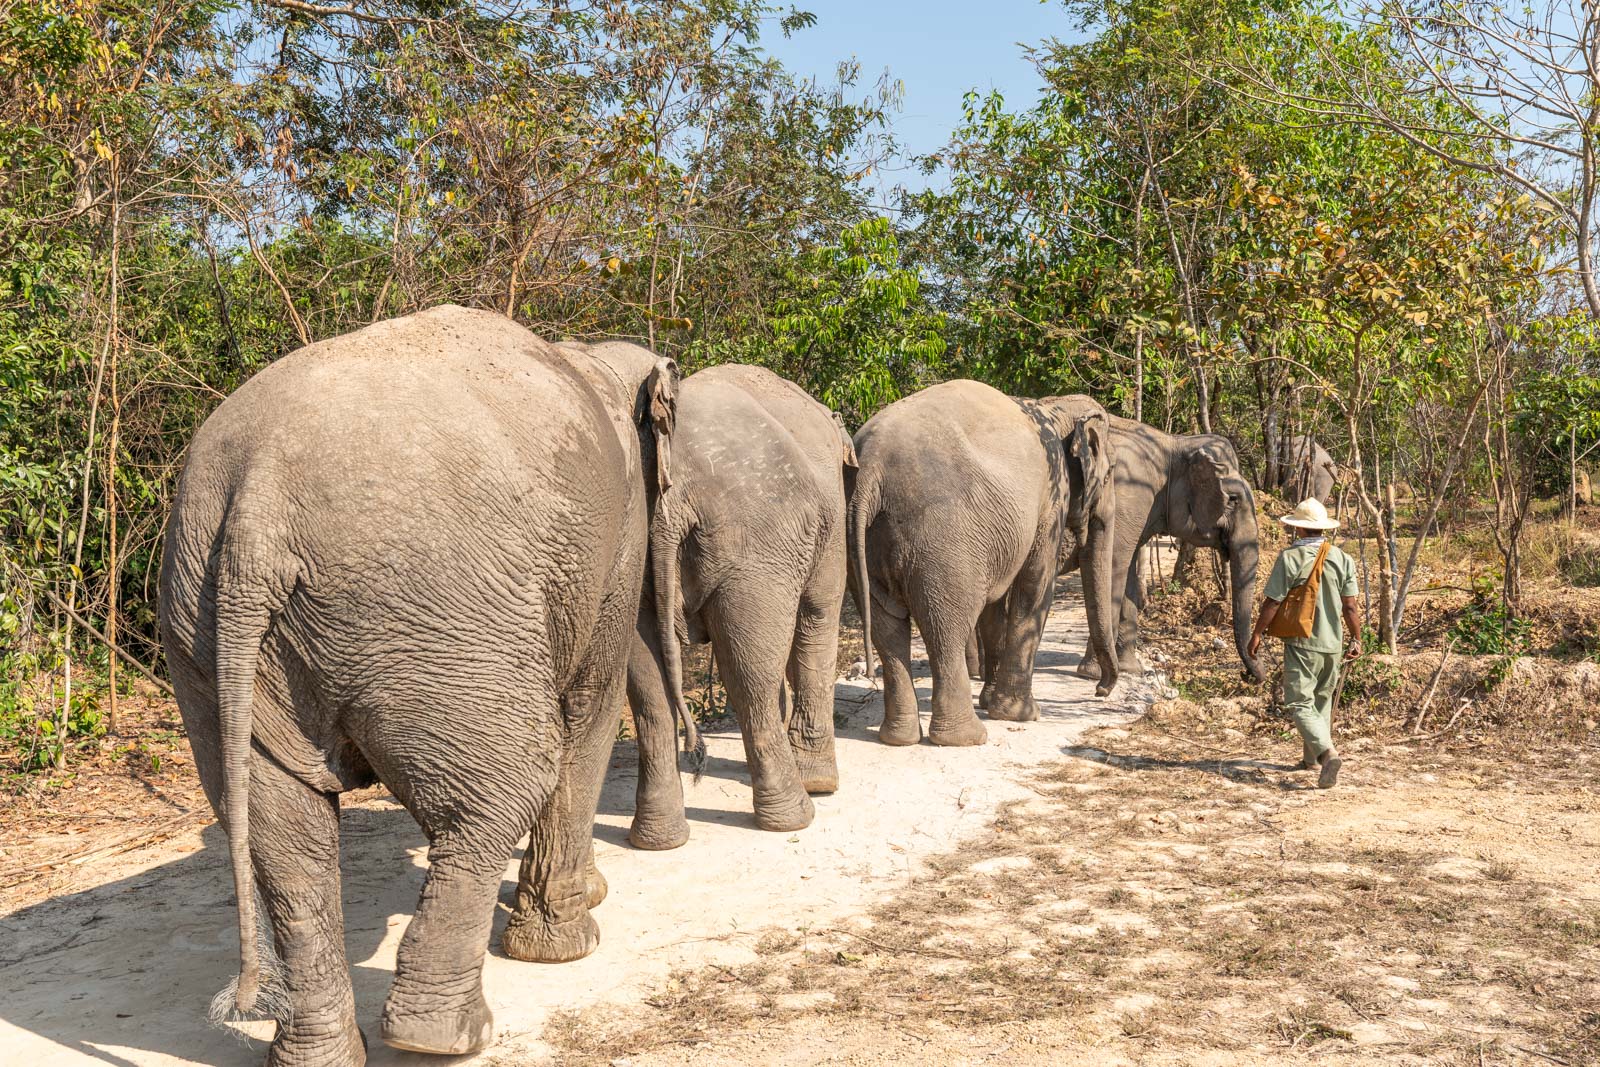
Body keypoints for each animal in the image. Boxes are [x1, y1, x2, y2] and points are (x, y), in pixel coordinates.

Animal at [162, 307, 681, 1067]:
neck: (589, 353)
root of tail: (258, 505)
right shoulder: (617, 537)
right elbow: (591, 702)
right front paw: (579, 925)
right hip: (433, 613)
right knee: (507, 782)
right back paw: (444, 1036)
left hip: (205, 636)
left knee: (280, 832)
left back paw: (322, 1055)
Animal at [624, 367, 857, 851]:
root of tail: (673, 498)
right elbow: (817, 616)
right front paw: (822, 784)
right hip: (760, 546)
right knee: (752, 676)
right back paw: (796, 816)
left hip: (642, 557)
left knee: (650, 686)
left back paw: (658, 840)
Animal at [1075, 415, 1260, 684]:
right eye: (1233, 500)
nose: (1248, 676)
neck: (1175, 444)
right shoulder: (1125, 499)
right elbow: (1112, 564)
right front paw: (1094, 674)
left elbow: (1129, 571)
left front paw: (1131, 669)